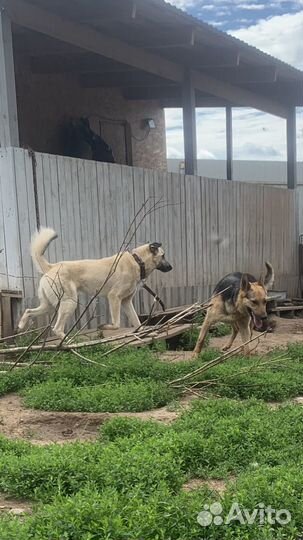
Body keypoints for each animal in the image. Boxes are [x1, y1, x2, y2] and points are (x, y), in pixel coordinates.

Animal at [17, 227, 172, 338]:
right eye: (163, 255)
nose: (171, 267)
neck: (137, 261)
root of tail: (52, 266)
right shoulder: (114, 297)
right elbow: (116, 324)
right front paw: (104, 326)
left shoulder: (126, 302)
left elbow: (137, 322)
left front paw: (147, 332)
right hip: (69, 302)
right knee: (57, 328)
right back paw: (67, 343)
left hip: (49, 306)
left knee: (29, 311)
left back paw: (21, 325)